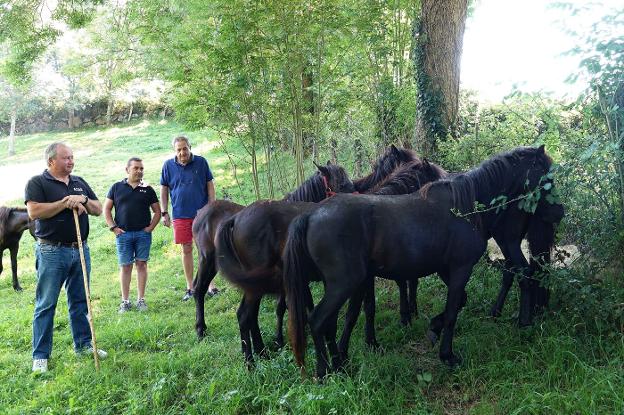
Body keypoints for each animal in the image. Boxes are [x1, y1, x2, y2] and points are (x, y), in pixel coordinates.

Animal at [282, 146, 560, 376]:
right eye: (547, 175)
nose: (558, 213)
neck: (465, 205)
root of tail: (310, 215)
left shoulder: (447, 270)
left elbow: (458, 303)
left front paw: (433, 328)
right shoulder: (460, 269)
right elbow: (452, 311)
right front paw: (447, 355)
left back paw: (339, 364)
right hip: (344, 285)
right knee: (318, 321)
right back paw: (324, 371)